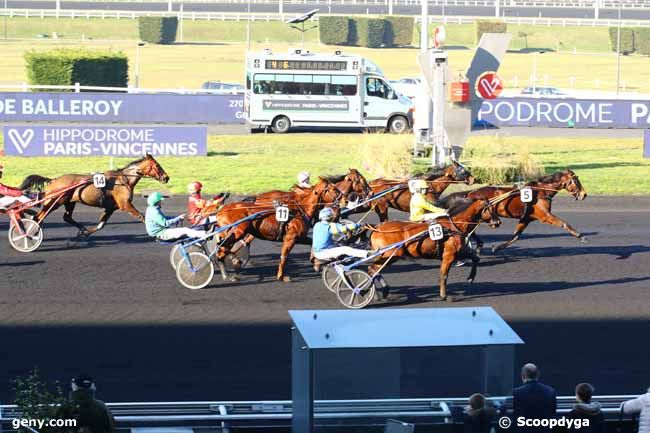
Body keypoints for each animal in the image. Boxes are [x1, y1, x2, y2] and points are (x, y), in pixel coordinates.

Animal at [19, 154, 168, 236]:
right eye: (157, 166)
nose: (166, 178)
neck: (123, 180)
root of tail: (54, 180)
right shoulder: (125, 204)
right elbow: (141, 217)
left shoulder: (110, 208)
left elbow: (101, 225)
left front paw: (85, 233)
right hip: (55, 201)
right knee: (38, 217)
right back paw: (31, 232)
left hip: (69, 202)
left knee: (67, 217)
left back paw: (82, 229)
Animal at [214, 177, 344, 282]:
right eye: (334, 189)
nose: (345, 200)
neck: (299, 211)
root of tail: (221, 211)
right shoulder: (290, 238)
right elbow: (283, 257)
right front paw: (281, 276)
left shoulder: (299, 237)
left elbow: (312, 243)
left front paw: (315, 262)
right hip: (237, 231)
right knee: (221, 250)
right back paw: (229, 270)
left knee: (223, 248)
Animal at [364, 197, 502, 300]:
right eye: (490, 209)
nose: (498, 222)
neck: (453, 226)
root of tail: (377, 228)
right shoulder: (448, 256)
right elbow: (444, 275)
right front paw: (444, 295)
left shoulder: (458, 253)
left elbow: (475, 258)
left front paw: (471, 278)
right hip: (391, 254)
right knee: (372, 270)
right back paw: (375, 293)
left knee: (374, 270)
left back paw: (382, 291)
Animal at [438, 167, 584, 251]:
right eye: (576, 181)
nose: (584, 194)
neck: (541, 191)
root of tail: (470, 193)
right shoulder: (545, 215)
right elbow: (563, 223)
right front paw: (580, 236)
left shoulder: (526, 218)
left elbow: (515, 236)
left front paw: (497, 247)